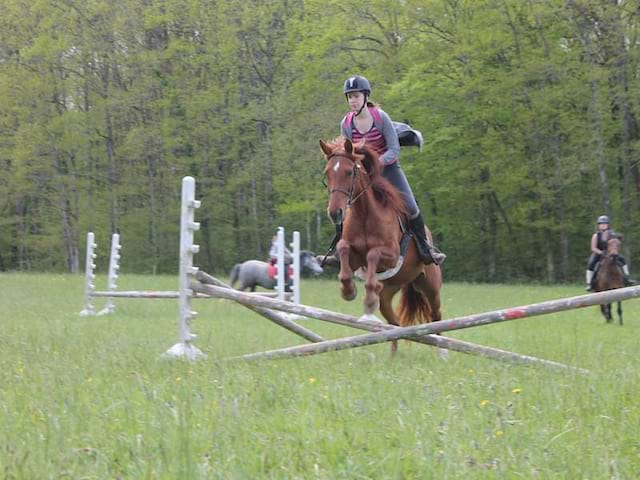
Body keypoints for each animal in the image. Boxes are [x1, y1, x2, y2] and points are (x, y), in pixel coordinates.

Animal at [318, 137, 442, 354]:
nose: (335, 213)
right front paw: (348, 291)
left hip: (430, 285)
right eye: (327, 173)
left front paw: (368, 300)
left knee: (436, 316)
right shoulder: (353, 255)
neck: (365, 214)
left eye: (349, 172)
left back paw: (443, 352)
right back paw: (393, 357)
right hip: (389, 292)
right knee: (394, 325)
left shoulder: (391, 256)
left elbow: (373, 254)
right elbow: (343, 250)